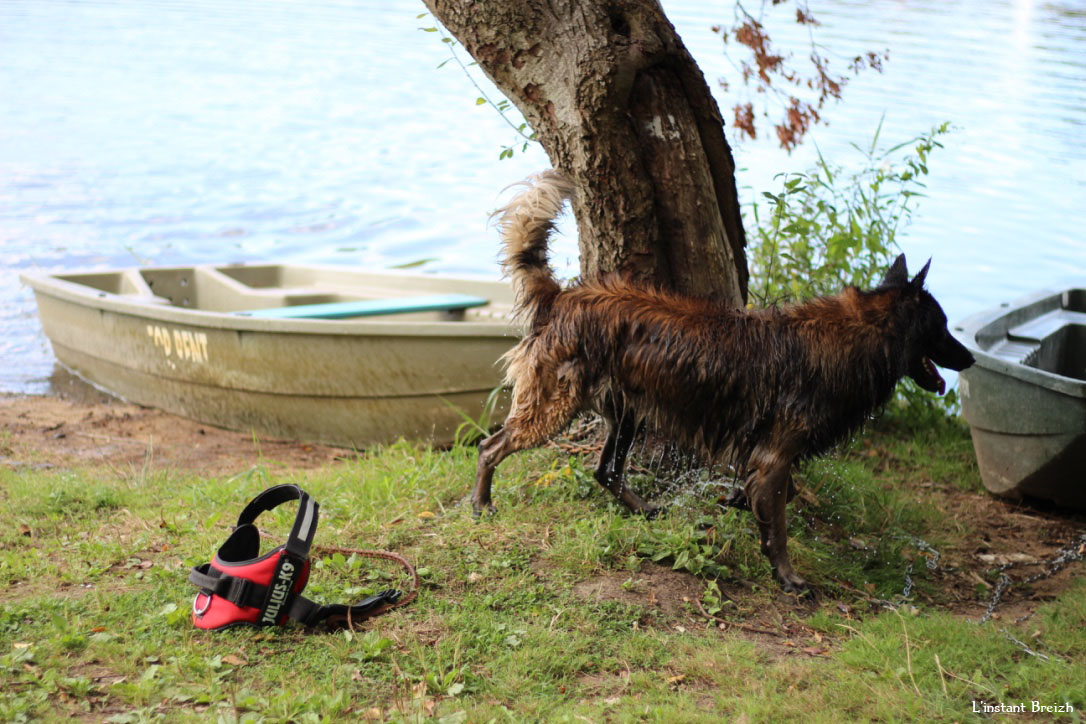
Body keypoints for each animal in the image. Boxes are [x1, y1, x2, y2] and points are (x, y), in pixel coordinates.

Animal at [475, 171, 977, 594]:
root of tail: (561, 298)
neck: (859, 335)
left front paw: (735, 505)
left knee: (606, 470)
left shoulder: (768, 455)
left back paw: (644, 509)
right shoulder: (776, 455)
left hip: (629, 412)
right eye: (942, 328)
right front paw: (788, 578)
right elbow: (779, 525)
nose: (970, 358)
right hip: (555, 406)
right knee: (491, 447)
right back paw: (481, 505)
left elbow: (769, 497)